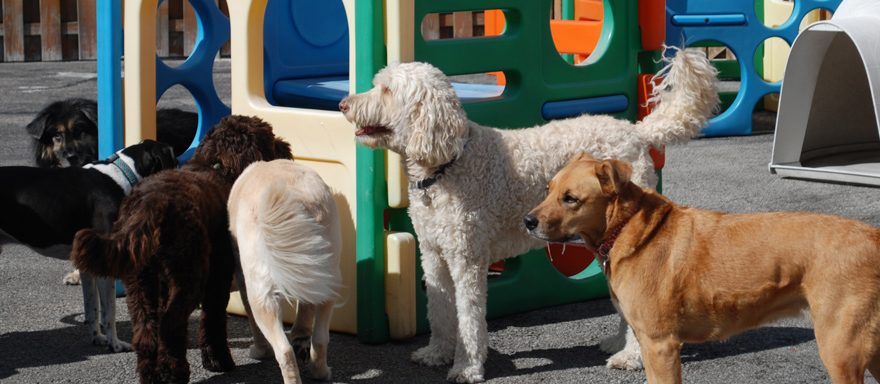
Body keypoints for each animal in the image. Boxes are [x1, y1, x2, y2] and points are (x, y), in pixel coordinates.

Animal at [0, 140, 179, 352]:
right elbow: (109, 311)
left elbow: (92, 308)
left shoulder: (88, 265)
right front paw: (115, 344)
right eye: (174, 159)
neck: (123, 175)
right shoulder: (105, 265)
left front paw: (98, 338)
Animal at [72, 115, 292, 382]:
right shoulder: (217, 276)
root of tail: (151, 204)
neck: (217, 167)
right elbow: (213, 319)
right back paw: (175, 372)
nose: (287, 149)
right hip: (188, 276)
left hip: (140, 282)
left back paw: (151, 375)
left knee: (146, 333)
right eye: (270, 138)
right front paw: (217, 361)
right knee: (170, 325)